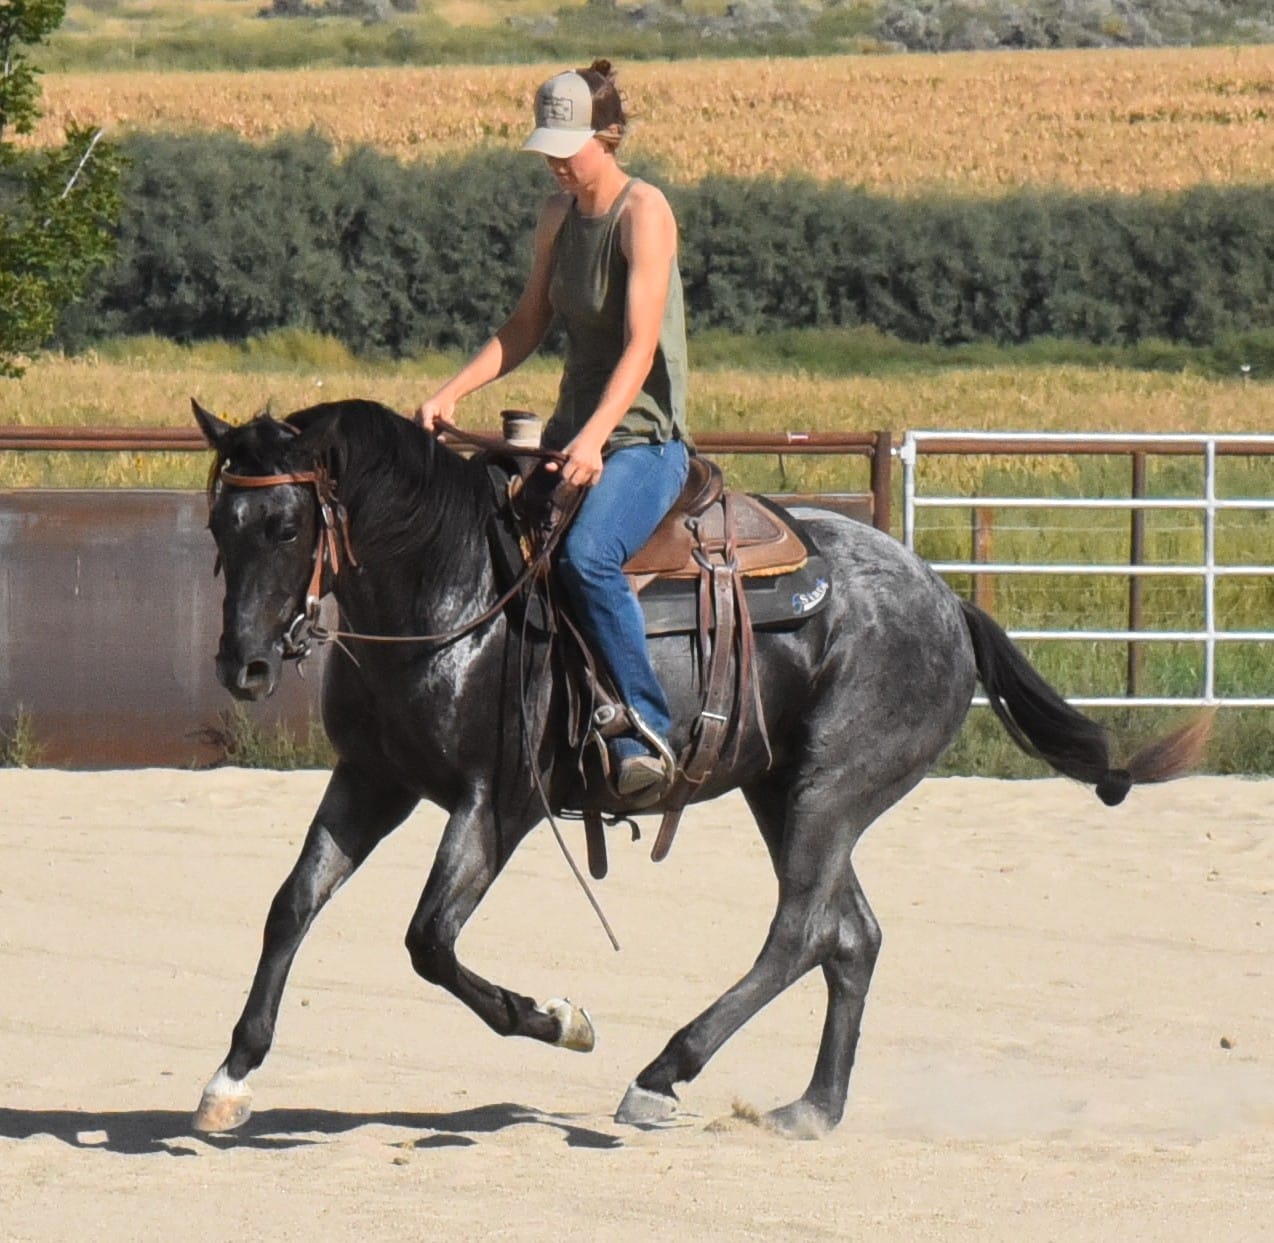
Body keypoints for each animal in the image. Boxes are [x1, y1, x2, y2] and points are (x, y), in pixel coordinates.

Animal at [189, 397, 1209, 1139]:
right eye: (219, 524)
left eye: (285, 525)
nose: (242, 666)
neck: (456, 589)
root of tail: (945, 600)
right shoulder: (370, 778)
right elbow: (292, 903)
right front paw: (231, 1073)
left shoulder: (498, 804)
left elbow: (429, 940)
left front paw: (561, 1019)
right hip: (783, 790)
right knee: (853, 936)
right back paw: (812, 1108)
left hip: (830, 790)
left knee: (800, 932)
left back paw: (661, 1072)